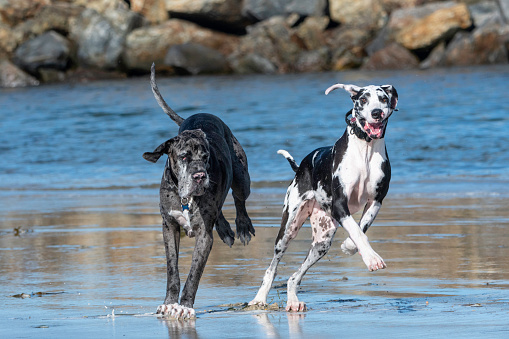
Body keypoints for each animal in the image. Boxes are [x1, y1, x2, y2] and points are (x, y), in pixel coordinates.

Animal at [143, 64, 254, 322]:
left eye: (205, 157)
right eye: (184, 157)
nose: (200, 176)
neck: (186, 198)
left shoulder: (204, 235)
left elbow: (194, 272)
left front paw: (184, 306)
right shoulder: (169, 227)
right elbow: (172, 270)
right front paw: (168, 303)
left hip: (242, 177)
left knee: (239, 199)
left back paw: (243, 227)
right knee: (221, 208)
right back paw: (225, 229)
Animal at [249, 83, 396, 312]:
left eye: (383, 99)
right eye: (363, 99)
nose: (376, 113)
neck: (365, 148)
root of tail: (300, 167)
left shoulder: (376, 201)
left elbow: (360, 228)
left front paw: (350, 246)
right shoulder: (340, 205)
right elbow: (357, 230)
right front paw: (372, 259)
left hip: (322, 243)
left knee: (294, 277)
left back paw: (293, 301)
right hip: (288, 230)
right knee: (272, 267)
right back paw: (259, 298)